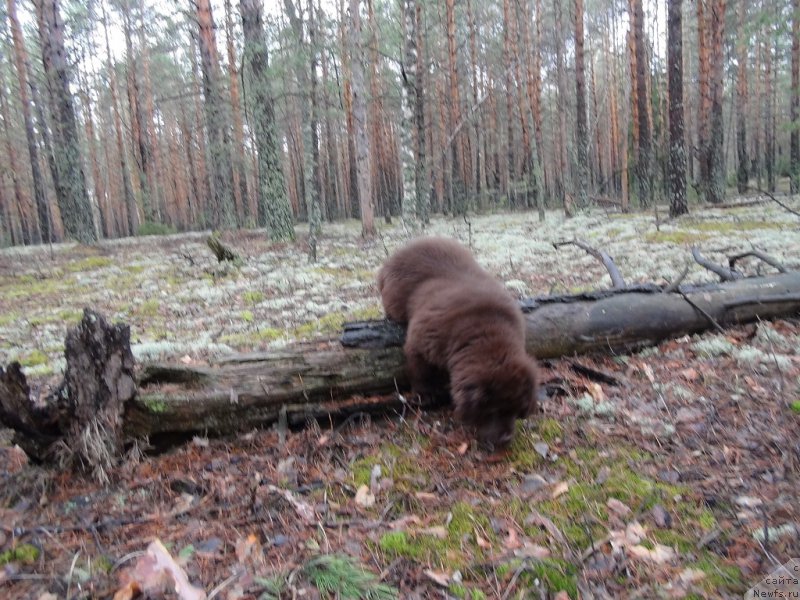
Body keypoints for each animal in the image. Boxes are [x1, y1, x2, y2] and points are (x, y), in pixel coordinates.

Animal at [380, 237, 540, 448]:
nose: (505, 439)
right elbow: (422, 373)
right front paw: (427, 395)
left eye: (515, 410)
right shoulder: (420, 344)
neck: (485, 332)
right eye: (493, 410)